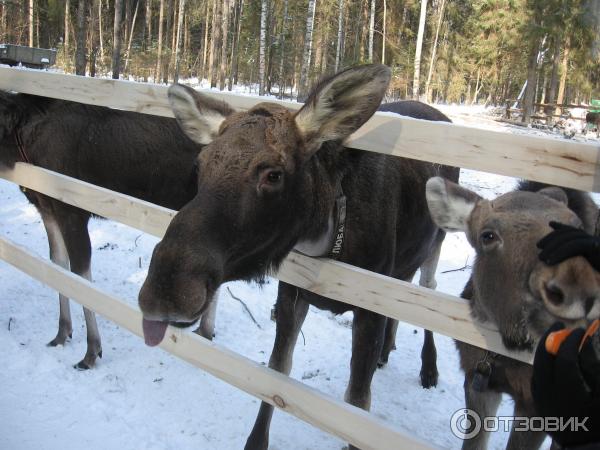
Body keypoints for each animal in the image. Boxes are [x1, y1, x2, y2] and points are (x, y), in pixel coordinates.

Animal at [0, 91, 216, 370]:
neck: (21, 143)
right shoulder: (46, 207)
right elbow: (58, 266)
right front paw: (62, 332)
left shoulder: (72, 211)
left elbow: (80, 276)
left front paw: (91, 350)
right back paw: (205, 329)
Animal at [139, 64, 460, 450]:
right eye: (200, 165)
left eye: (274, 174)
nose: (166, 289)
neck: (327, 238)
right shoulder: (292, 291)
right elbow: (278, 370)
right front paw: (255, 440)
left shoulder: (367, 305)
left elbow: (357, 403)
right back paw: (387, 351)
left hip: (438, 241)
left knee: (430, 287)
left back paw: (429, 368)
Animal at [426, 178, 600, 448]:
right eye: (488, 235)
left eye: (578, 227)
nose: (577, 289)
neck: (504, 351)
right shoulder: (478, 379)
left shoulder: (538, 405)